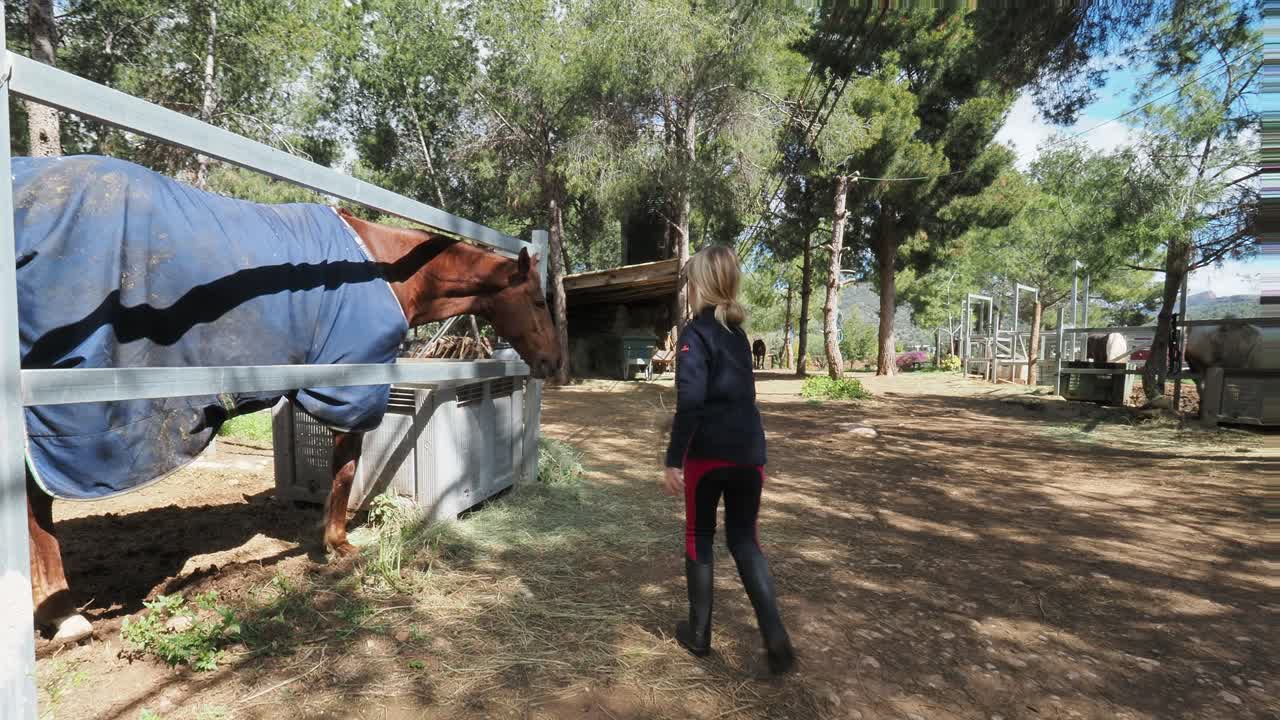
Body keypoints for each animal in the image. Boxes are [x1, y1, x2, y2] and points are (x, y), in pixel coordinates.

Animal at [17, 155, 560, 644]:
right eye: (537, 299)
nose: (553, 362)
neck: (383, 269)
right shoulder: (352, 386)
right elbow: (345, 469)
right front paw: (339, 545)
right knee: (37, 498)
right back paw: (64, 616)